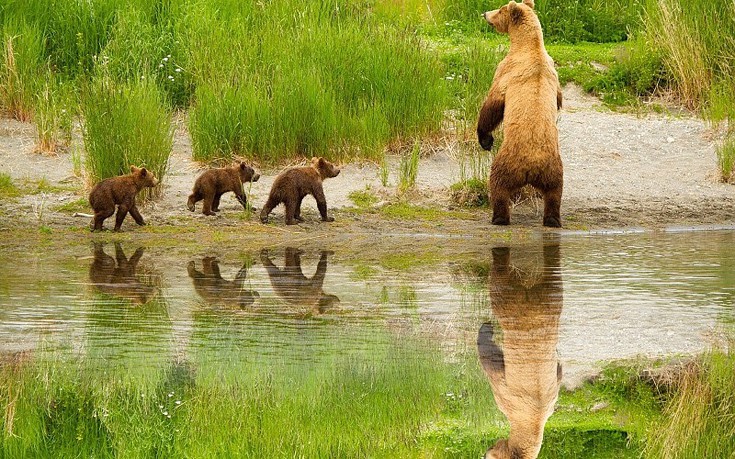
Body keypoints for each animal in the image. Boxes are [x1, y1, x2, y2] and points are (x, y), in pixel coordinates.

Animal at [478, 243, 564, 458]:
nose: (487, 449)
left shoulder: (508, 395)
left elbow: (492, 364)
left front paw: (486, 329)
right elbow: (559, 372)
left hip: (513, 308)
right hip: (550, 302)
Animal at [480, 0, 568, 228]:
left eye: (500, 10)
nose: (485, 13)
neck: (529, 46)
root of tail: (532, 168)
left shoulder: (506, 71)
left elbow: (492, 106)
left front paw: (485, 139)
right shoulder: (554, 73)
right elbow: (559, 99)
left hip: (508, 162)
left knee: (498, 185)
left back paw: (499, 217)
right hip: (554, 169)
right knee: (555, 193)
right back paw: (553, 220)